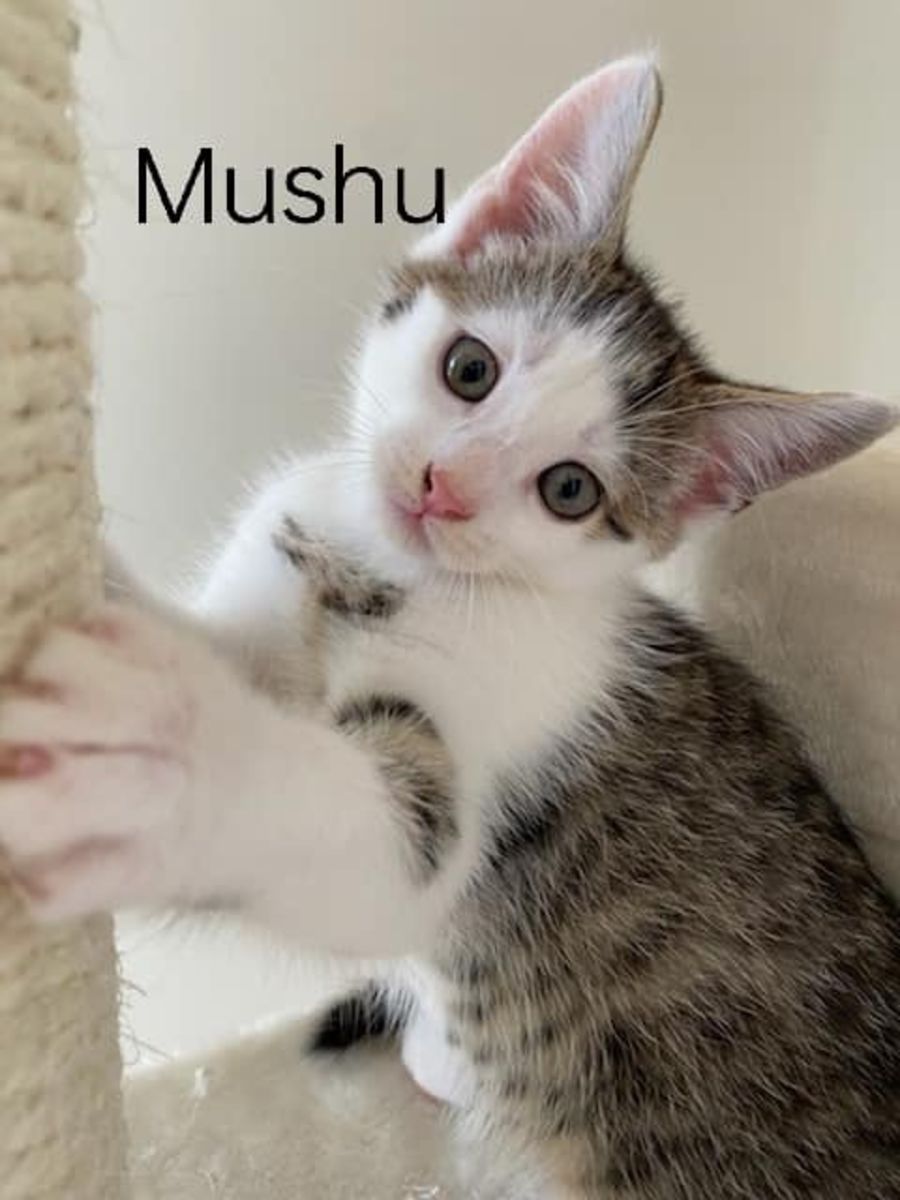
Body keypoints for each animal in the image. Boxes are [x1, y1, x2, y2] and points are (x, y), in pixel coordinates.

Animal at [1, 55, 899, 1199]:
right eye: (471, 368)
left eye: (570, 490)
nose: (443, 488)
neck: (379, 570)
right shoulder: (268, 619)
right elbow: (210, 647)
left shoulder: (476, 788)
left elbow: (362, 837)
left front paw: (155, 749)